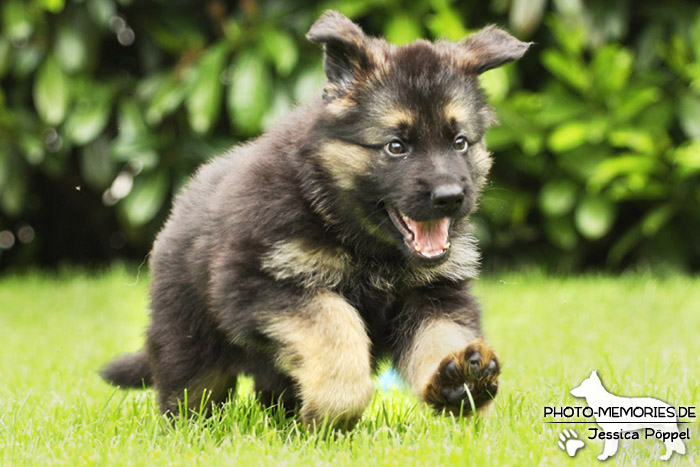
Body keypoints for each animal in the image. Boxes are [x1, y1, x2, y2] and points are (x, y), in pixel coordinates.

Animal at [101, 11, 532, 430]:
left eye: (460, 142)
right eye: (396, 147)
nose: (450, 198)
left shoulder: (433, 292)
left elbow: (441, 333)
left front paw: (459, 381)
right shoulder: (261, 281)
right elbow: (336, 324)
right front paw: (336, 408)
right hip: (190, 338)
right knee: (191, 388)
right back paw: (192, 429)